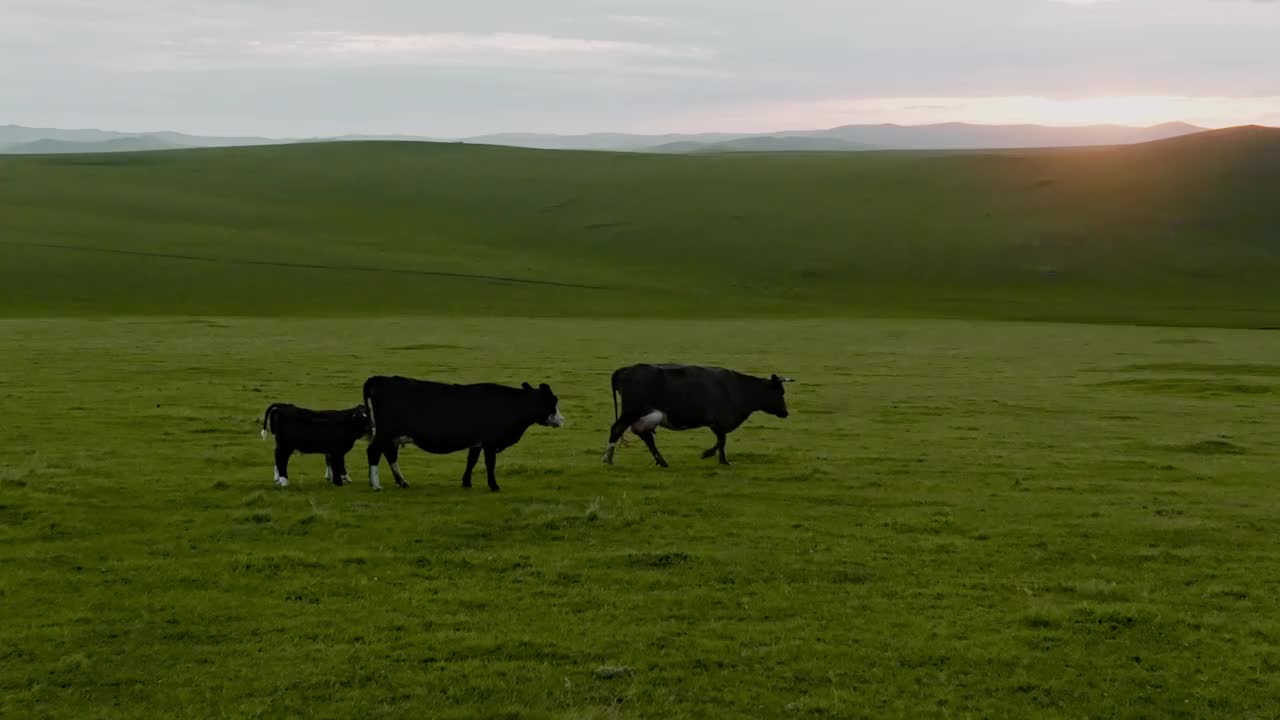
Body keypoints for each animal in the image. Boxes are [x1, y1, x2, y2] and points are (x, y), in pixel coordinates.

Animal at [360, 371, 560, 489]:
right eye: (553, 402)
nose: (561, 420)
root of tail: (379, 379)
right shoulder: (490, 442)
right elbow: (490, 463)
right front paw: (493, 485)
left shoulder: (477, 442)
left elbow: (471, 461)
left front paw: (466, 482)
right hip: (385, 433)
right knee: (374, 451)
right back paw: (376, 484)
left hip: (390, 436)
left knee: (389, 454)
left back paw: (402, 481)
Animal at [599, 361, 788, 468]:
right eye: (780, 393)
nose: (786, 413)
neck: (738, 388)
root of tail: (625, 370)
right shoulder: (719, 421)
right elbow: (722, 441)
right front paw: (714, 457)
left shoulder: (716, 424)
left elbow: (721, 441)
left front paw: (719, 458)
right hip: (631, 412)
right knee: (617, 429)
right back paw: (608, 459)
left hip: (642, 415)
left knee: (646, 437)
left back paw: (662, 462)